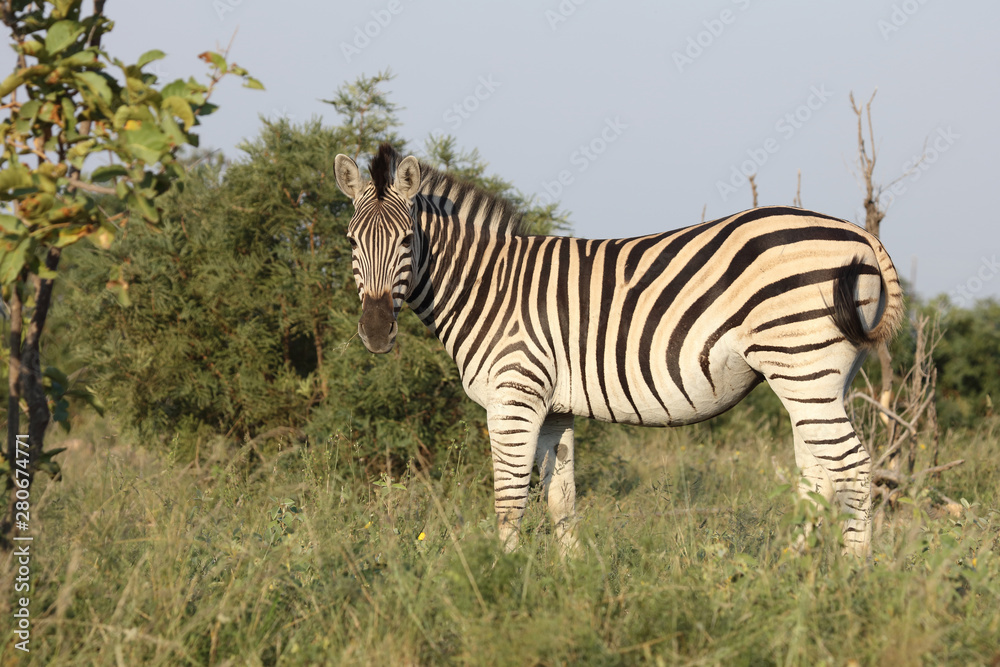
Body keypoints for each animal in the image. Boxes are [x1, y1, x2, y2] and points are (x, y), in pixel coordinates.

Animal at [334, 143, 904, 557]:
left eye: (406, 240)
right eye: (352, 242)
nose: (376, 332)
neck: (490, 285)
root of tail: (859, 233)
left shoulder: (514, 396)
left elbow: (509, 501)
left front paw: (504, 581)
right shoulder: (554, 409)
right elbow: (560, 501)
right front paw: (570, 584)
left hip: (803, 368)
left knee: (852, 469)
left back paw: (852, 577)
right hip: (820, 378)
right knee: (819, 476)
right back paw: (790, 574)